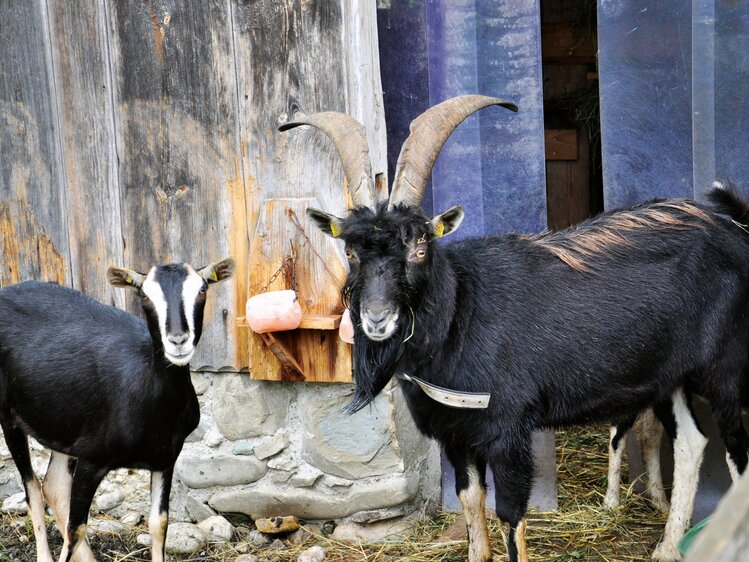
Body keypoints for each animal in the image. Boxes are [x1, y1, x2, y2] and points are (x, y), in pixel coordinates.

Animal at [0, 258, 232, 560]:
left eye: (202, 290)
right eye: (145, 296)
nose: (178, 340)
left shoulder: (166, 458)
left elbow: (159, 524)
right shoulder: (92, 460)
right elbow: (76, 528)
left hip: (63, 427)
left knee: (53, 486)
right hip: (10, 418)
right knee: (34, 491)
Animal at [280, 96, 748, 560]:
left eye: (420, 246)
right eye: (350, 250)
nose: (377, 319)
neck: (460, 315)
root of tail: (735, 231)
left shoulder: (508, 430)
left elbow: (511, 517)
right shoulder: (456, 435)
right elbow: (471, 504)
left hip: (726, 370)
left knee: (737, 456)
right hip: (672, 375)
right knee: (691, 442)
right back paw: (668, 547)